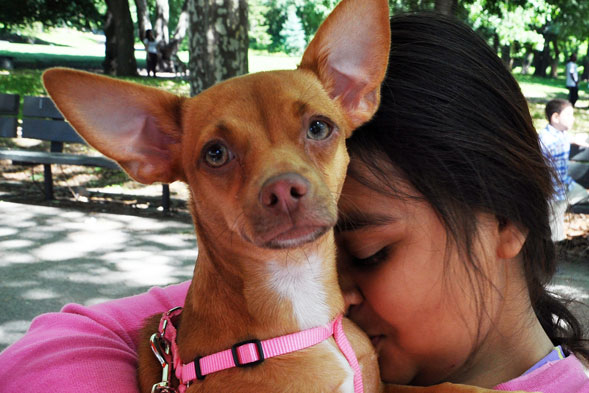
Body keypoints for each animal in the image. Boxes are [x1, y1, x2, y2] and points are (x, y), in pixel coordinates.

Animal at [44, 0, 524, 392]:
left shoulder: (383, 383)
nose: (283, 189)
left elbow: (443, 386)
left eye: (319, 127)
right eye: (215, 154)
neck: (297, 300)